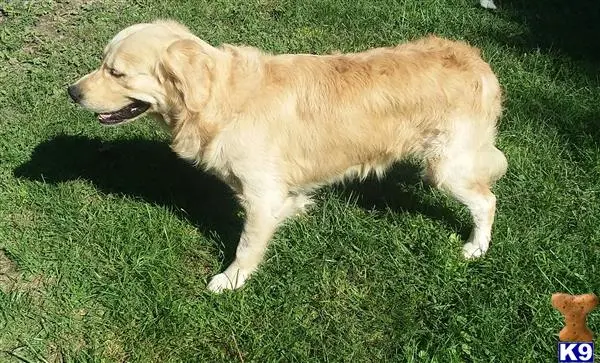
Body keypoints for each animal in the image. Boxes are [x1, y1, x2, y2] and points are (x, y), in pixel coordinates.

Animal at [68, 19, 506, 292]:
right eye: (103, 64)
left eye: (117, 72)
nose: (72, 91)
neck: (221, 99)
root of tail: (478, 61)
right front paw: (295, 210)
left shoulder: (260, 194)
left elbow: (246, 246)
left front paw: (230, 281)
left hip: (446, 166)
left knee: (487, 200)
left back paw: (477, 247)